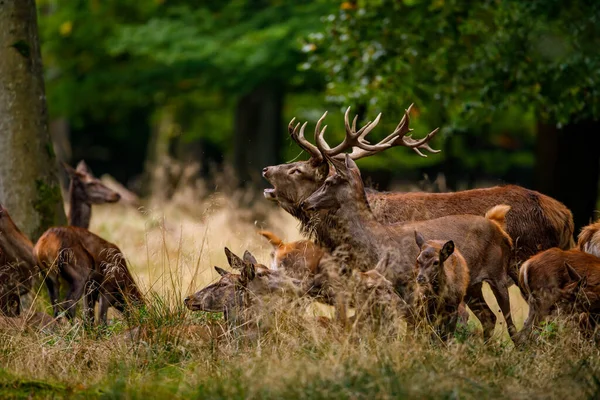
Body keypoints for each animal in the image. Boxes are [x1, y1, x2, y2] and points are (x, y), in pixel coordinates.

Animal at [304, 155, 516, 342]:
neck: (377, 243)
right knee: (489, 317)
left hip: (499, 274)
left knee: (509, 322)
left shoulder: (409, 283)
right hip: (472, 286)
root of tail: (498, 227)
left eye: (329, 181)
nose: (306, 202)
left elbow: (414, 324)